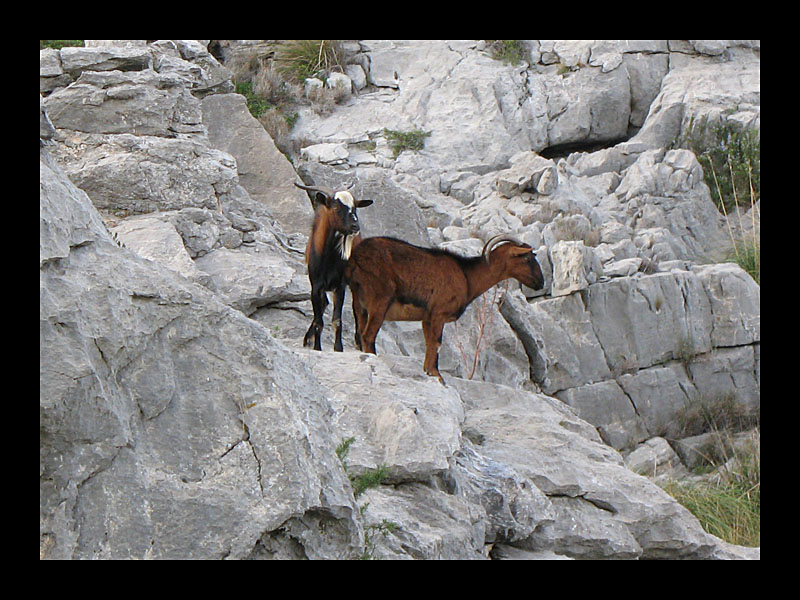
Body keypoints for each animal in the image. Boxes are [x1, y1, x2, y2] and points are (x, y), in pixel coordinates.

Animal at [344, 234, 544, 384]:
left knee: (360, 333)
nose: (540, 283)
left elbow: (429, 343)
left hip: (359, 302)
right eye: (527, 257)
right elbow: (437, 343)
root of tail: (356, 257)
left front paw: (428, 372)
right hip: (380, 300)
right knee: (368, 336)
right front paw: (438, 376)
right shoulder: (439, 313)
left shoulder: (427, 317)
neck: (467, 276)